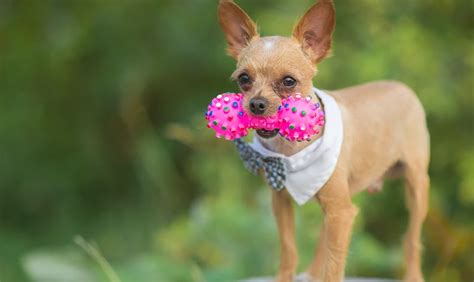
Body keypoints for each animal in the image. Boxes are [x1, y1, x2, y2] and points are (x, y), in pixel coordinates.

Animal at [218, 1, 430, 280]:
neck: (289, 151)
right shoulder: (282, 203)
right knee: (323, 237)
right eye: (244, 79)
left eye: (289, 81)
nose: (256, 103)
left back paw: (413, 274)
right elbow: (289, 249)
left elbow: (335, 265)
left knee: (412, 239)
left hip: (416, 186)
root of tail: (402, 87)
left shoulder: (342, 214)